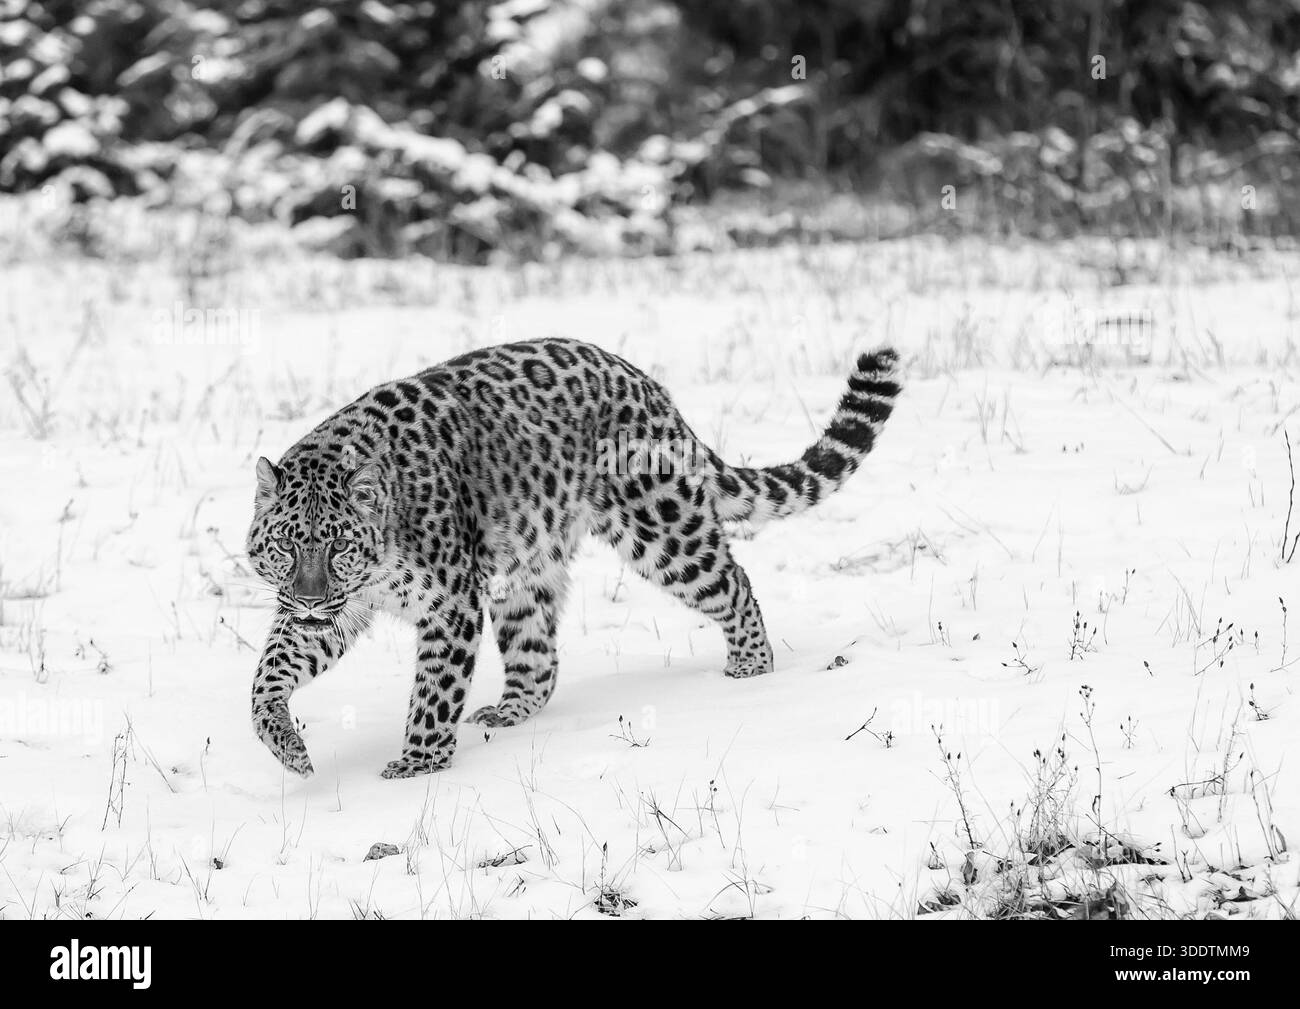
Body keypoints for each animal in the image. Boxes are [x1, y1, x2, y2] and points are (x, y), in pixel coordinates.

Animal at [246, 338, 901, 778]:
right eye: (285, 546)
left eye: (340, 546)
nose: (309, 596)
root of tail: (643, 380)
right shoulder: (331, 612)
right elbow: (269, 672)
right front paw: (286, 745)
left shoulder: (449, 604)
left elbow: (435, 691)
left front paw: (417, 765)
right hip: (526, 569)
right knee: (538, 659)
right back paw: (508, 712)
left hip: (662, 528)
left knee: (733, 581)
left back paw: (750, 671)